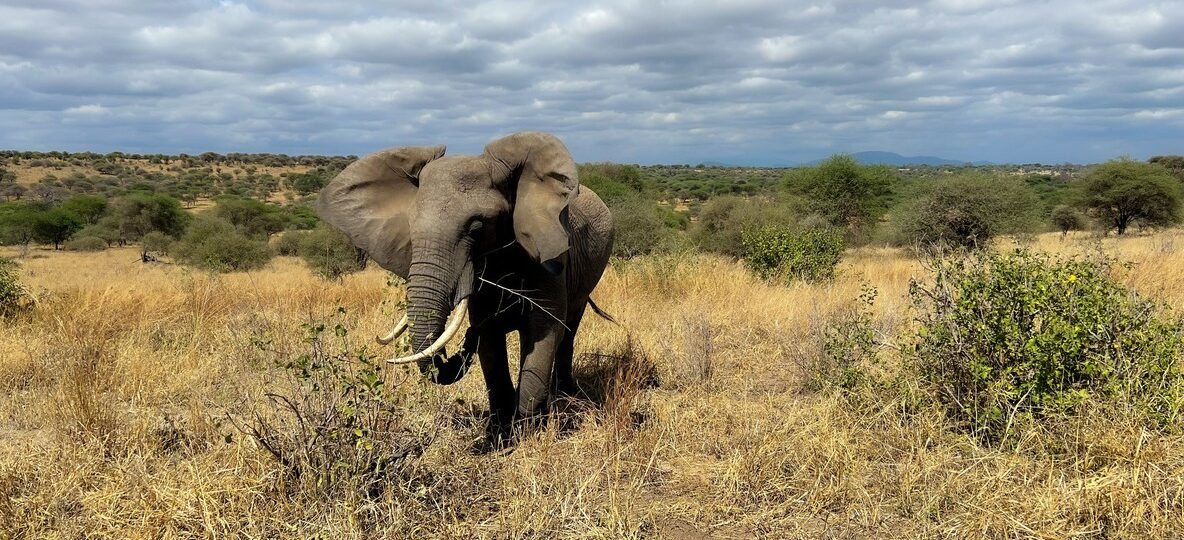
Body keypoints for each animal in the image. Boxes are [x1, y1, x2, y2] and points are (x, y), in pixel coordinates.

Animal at [317, 131, 615, 432]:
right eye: (410, 226)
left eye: (477, 227)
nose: (468, 336)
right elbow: (491, 347)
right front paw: (500, 432)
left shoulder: (549, 260)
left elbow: (545, 329)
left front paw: (529, 430)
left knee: (568, 330)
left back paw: (565, 394)